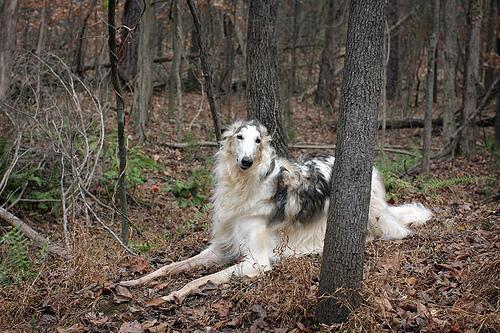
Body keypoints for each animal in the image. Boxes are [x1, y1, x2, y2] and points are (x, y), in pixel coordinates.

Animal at [119, 120, 432, 304]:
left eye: (258, 141)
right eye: (240, 137)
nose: (246, 161)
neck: (244, 187)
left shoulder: (256, 262)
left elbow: (198, 280)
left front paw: (171, 294)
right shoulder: (220, 249)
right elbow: (170, 267)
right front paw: (134, 281)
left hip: (375, 218)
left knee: (392, 231)